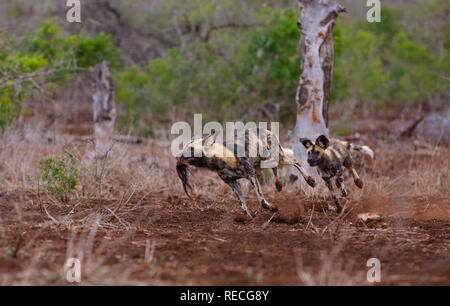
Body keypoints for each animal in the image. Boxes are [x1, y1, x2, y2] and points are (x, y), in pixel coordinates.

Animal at [176, 128, 316, 216]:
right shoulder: (233, 184)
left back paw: (310, 180)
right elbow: (242, 204)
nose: (178, 157)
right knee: (275, 168)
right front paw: (248, 218)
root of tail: (265, 129)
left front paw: (272, 208)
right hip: (262, 163)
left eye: (191, 149)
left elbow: (262, 200)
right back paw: (278, 185)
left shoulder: (251, 175)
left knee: (295, 161)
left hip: (279, 158)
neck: (220, 159)